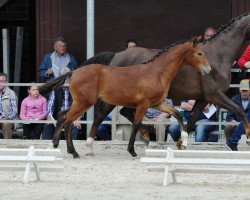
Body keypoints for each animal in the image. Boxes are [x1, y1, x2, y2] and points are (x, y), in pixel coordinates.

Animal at [39, 37, 211, 159]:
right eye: (199, 53)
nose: (208, 70)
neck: (157, 72)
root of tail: (74, 72)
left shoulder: (157, 103)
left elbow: (176, 114)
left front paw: (184, 142)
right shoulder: (144, 104)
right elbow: (136, 124)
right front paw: (132, 151)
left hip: (81, 103)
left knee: (65, 118)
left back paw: (68, 150)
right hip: (84, 102)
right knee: (66, 119)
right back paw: (63, 148)